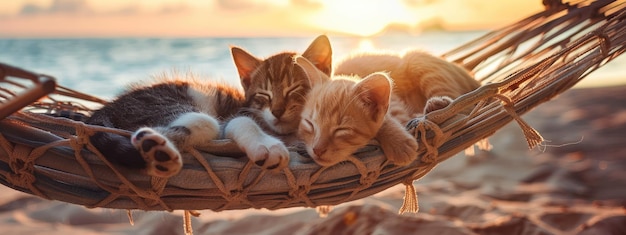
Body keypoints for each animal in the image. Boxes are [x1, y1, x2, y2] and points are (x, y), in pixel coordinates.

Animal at [86, 76, 288, 177]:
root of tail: (107, 107)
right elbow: (242, 121)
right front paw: (266, 144)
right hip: (157, 104)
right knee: (206, 122)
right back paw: (156, 147)